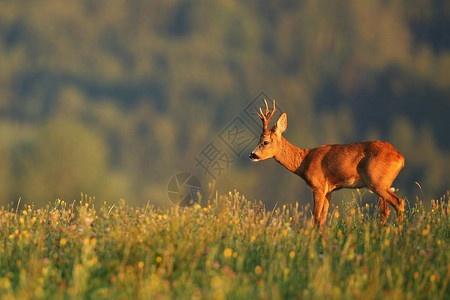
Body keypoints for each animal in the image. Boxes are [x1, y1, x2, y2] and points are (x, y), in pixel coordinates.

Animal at [248, 99, 406, 229]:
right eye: (259, 139)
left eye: (265, 142)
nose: (252, 154)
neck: (304, 161)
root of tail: (401, 158)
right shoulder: (329, 190)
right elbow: (323, 218)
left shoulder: (318, 186)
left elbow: (316, 217)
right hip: (383, 183)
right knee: (385, 210)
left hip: (377, 181)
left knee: (398, 203)